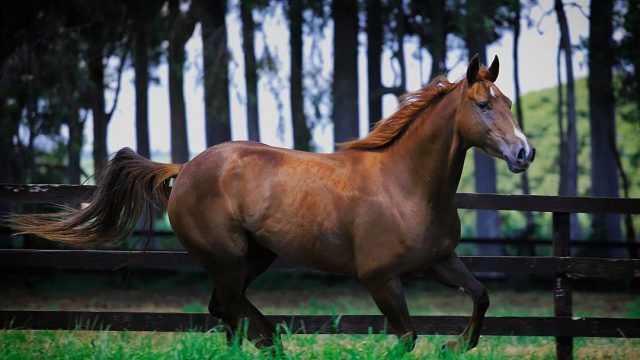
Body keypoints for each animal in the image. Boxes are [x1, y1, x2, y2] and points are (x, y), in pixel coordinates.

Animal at [8, 56, 536, 354]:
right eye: (484, 105)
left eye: (509, 101)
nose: (524, 153)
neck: (407, 186)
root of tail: (185, 168)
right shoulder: (380, 278)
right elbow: (406, 337)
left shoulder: (439, 261)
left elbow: (482, 297)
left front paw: (457, 343)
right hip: (228, 256)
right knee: (227, 306)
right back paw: (273, 341)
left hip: (255, 256)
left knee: (225, 311)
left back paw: (265, 343)